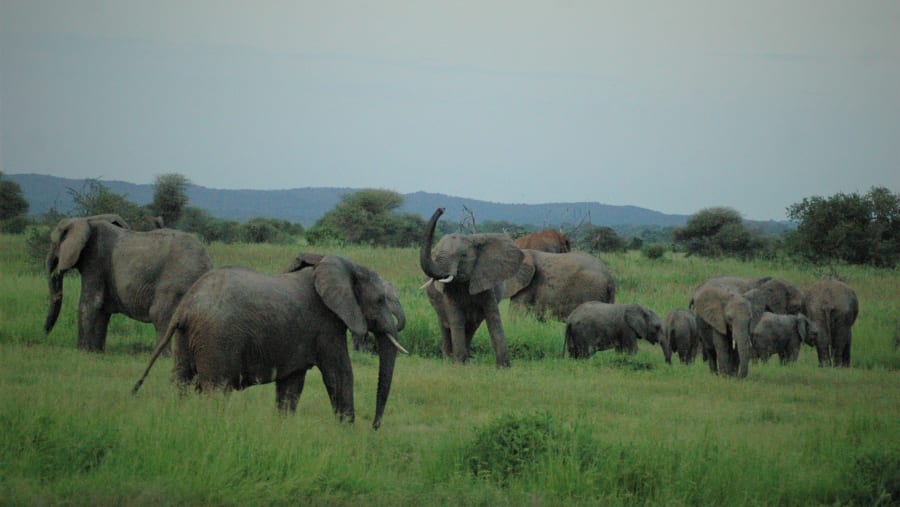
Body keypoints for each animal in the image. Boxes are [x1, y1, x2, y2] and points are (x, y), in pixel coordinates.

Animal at [44, 214, 213, 353]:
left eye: (53, 243)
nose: (45, 332)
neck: (86, 221)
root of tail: (208, 264)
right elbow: (102, 308)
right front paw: (96, 352)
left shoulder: (95, 259)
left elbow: (90, 303)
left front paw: (82, 352)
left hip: (175, 283)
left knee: (161, 316)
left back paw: (163, 357)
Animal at [132, 253, 407, 429]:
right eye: (380, 300)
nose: (375, 426)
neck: (344, 265)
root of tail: (186, 307)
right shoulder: (327, 325)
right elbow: (339, 373)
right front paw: (346, 431)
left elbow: (291, 385)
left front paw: (283, 428)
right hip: (218, 339)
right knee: (217, 388)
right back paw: (214, 425)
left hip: (187, 337)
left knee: (180, 381)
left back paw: (178, 417)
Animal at [419, 207, 524, 367]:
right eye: (436, 255)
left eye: (463, 256)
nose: (441, 209)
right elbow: (456, 318)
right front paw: (458, 364)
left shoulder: (485, 280)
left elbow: (493, 317)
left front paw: (504, 367)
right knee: (445, 324)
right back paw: (449, 359)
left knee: (472, 327)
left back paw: (466, 358)